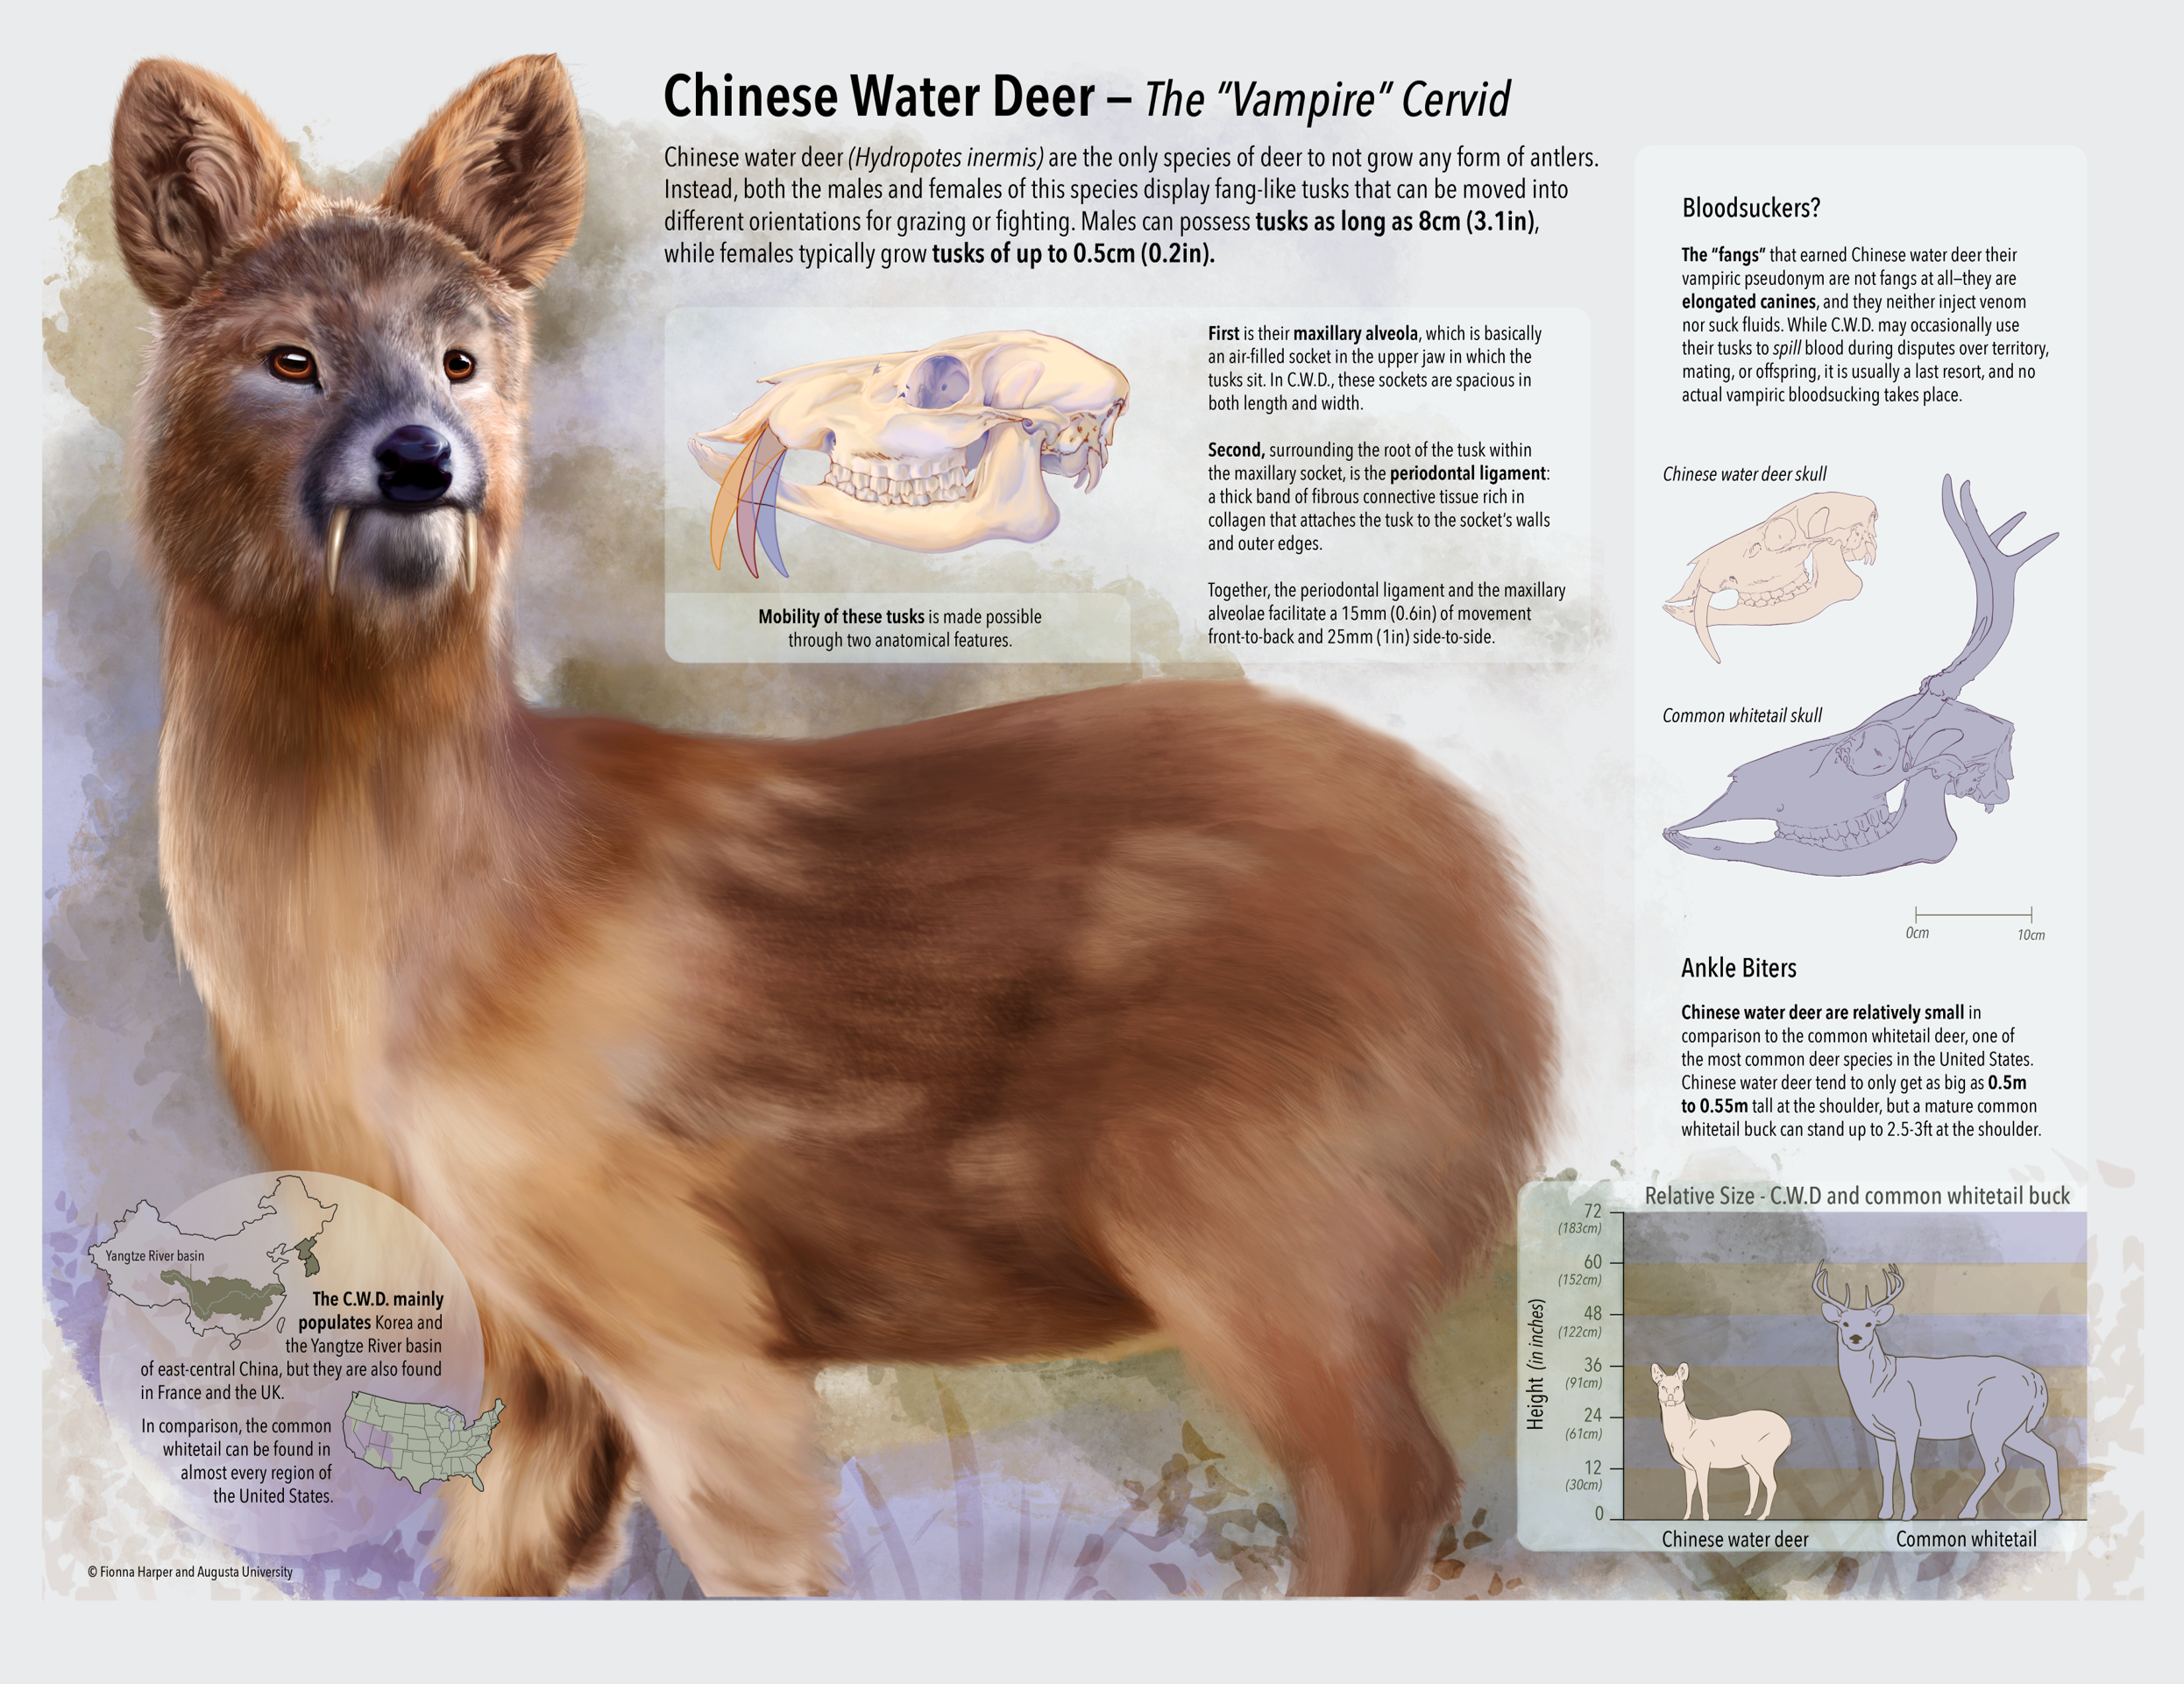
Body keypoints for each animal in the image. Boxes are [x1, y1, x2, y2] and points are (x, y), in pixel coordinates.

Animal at [1649, 1363, 1792, 1521]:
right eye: (1662, 1386)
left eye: (1678, 1386)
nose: (1670, 1396)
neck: (1686, 1433)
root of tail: (1788, 1433)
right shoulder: (1687, 1468)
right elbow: (1689, 1492)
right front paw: (1685, 1517)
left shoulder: (1702, 1463)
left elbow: (1703, 1491)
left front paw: (1706, 1517)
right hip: (1749, 1461)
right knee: (1755, 1481)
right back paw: (1748, 1512)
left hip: (1763, 1456)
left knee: (1772, 1484)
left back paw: (1762, 1516)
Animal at [1814, 1264, 2063, 1521]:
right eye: (1844, 1324)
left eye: (1869, 1324)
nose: (1856, 1338)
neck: (1877, 1385)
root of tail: (2035, 1378)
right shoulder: (1881, 1434)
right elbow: (1886, 1469)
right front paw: (1884, 1513)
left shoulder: (1908, 1425)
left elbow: (1906, 1467)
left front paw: (1909, 1513)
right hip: (2015, 1427)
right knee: (2048, 1452)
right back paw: (2051, 1512)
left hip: (1988, 1422)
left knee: (1997, 1464)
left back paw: (1967, 1511)